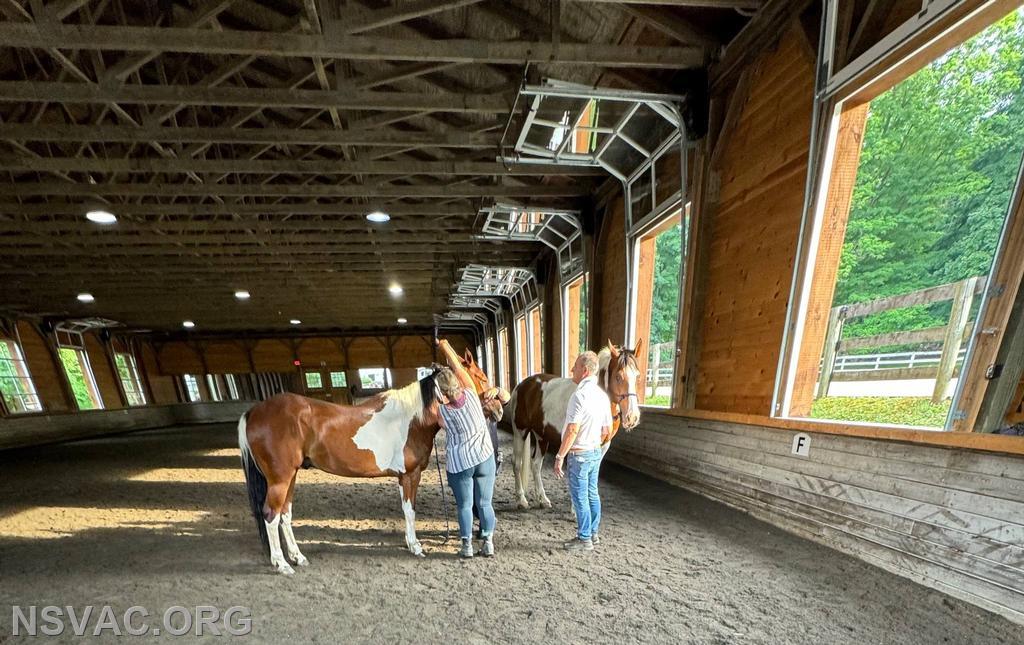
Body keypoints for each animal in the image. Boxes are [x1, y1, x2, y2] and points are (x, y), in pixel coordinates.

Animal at [241, 368, 446, 577]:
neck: (409, 420)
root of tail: (254, 412)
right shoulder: (410, 475)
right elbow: (410, 510)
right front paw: (415, 546)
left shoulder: (402, 477)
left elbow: (406, 509)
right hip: (279, 480)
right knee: (271, 516)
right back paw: (282, 564)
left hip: (291, 477)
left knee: (285, 514)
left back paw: (298, 557)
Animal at [503, 341, 638, 513]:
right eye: (618, 376)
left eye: (637, 375)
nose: (632, 417)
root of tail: (522, 385)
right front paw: (576, 509)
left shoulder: (602, 447)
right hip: (520, 431)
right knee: (517, 462)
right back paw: (521, 500)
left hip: (541, 436)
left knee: (536, 465)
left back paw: (543, 499)